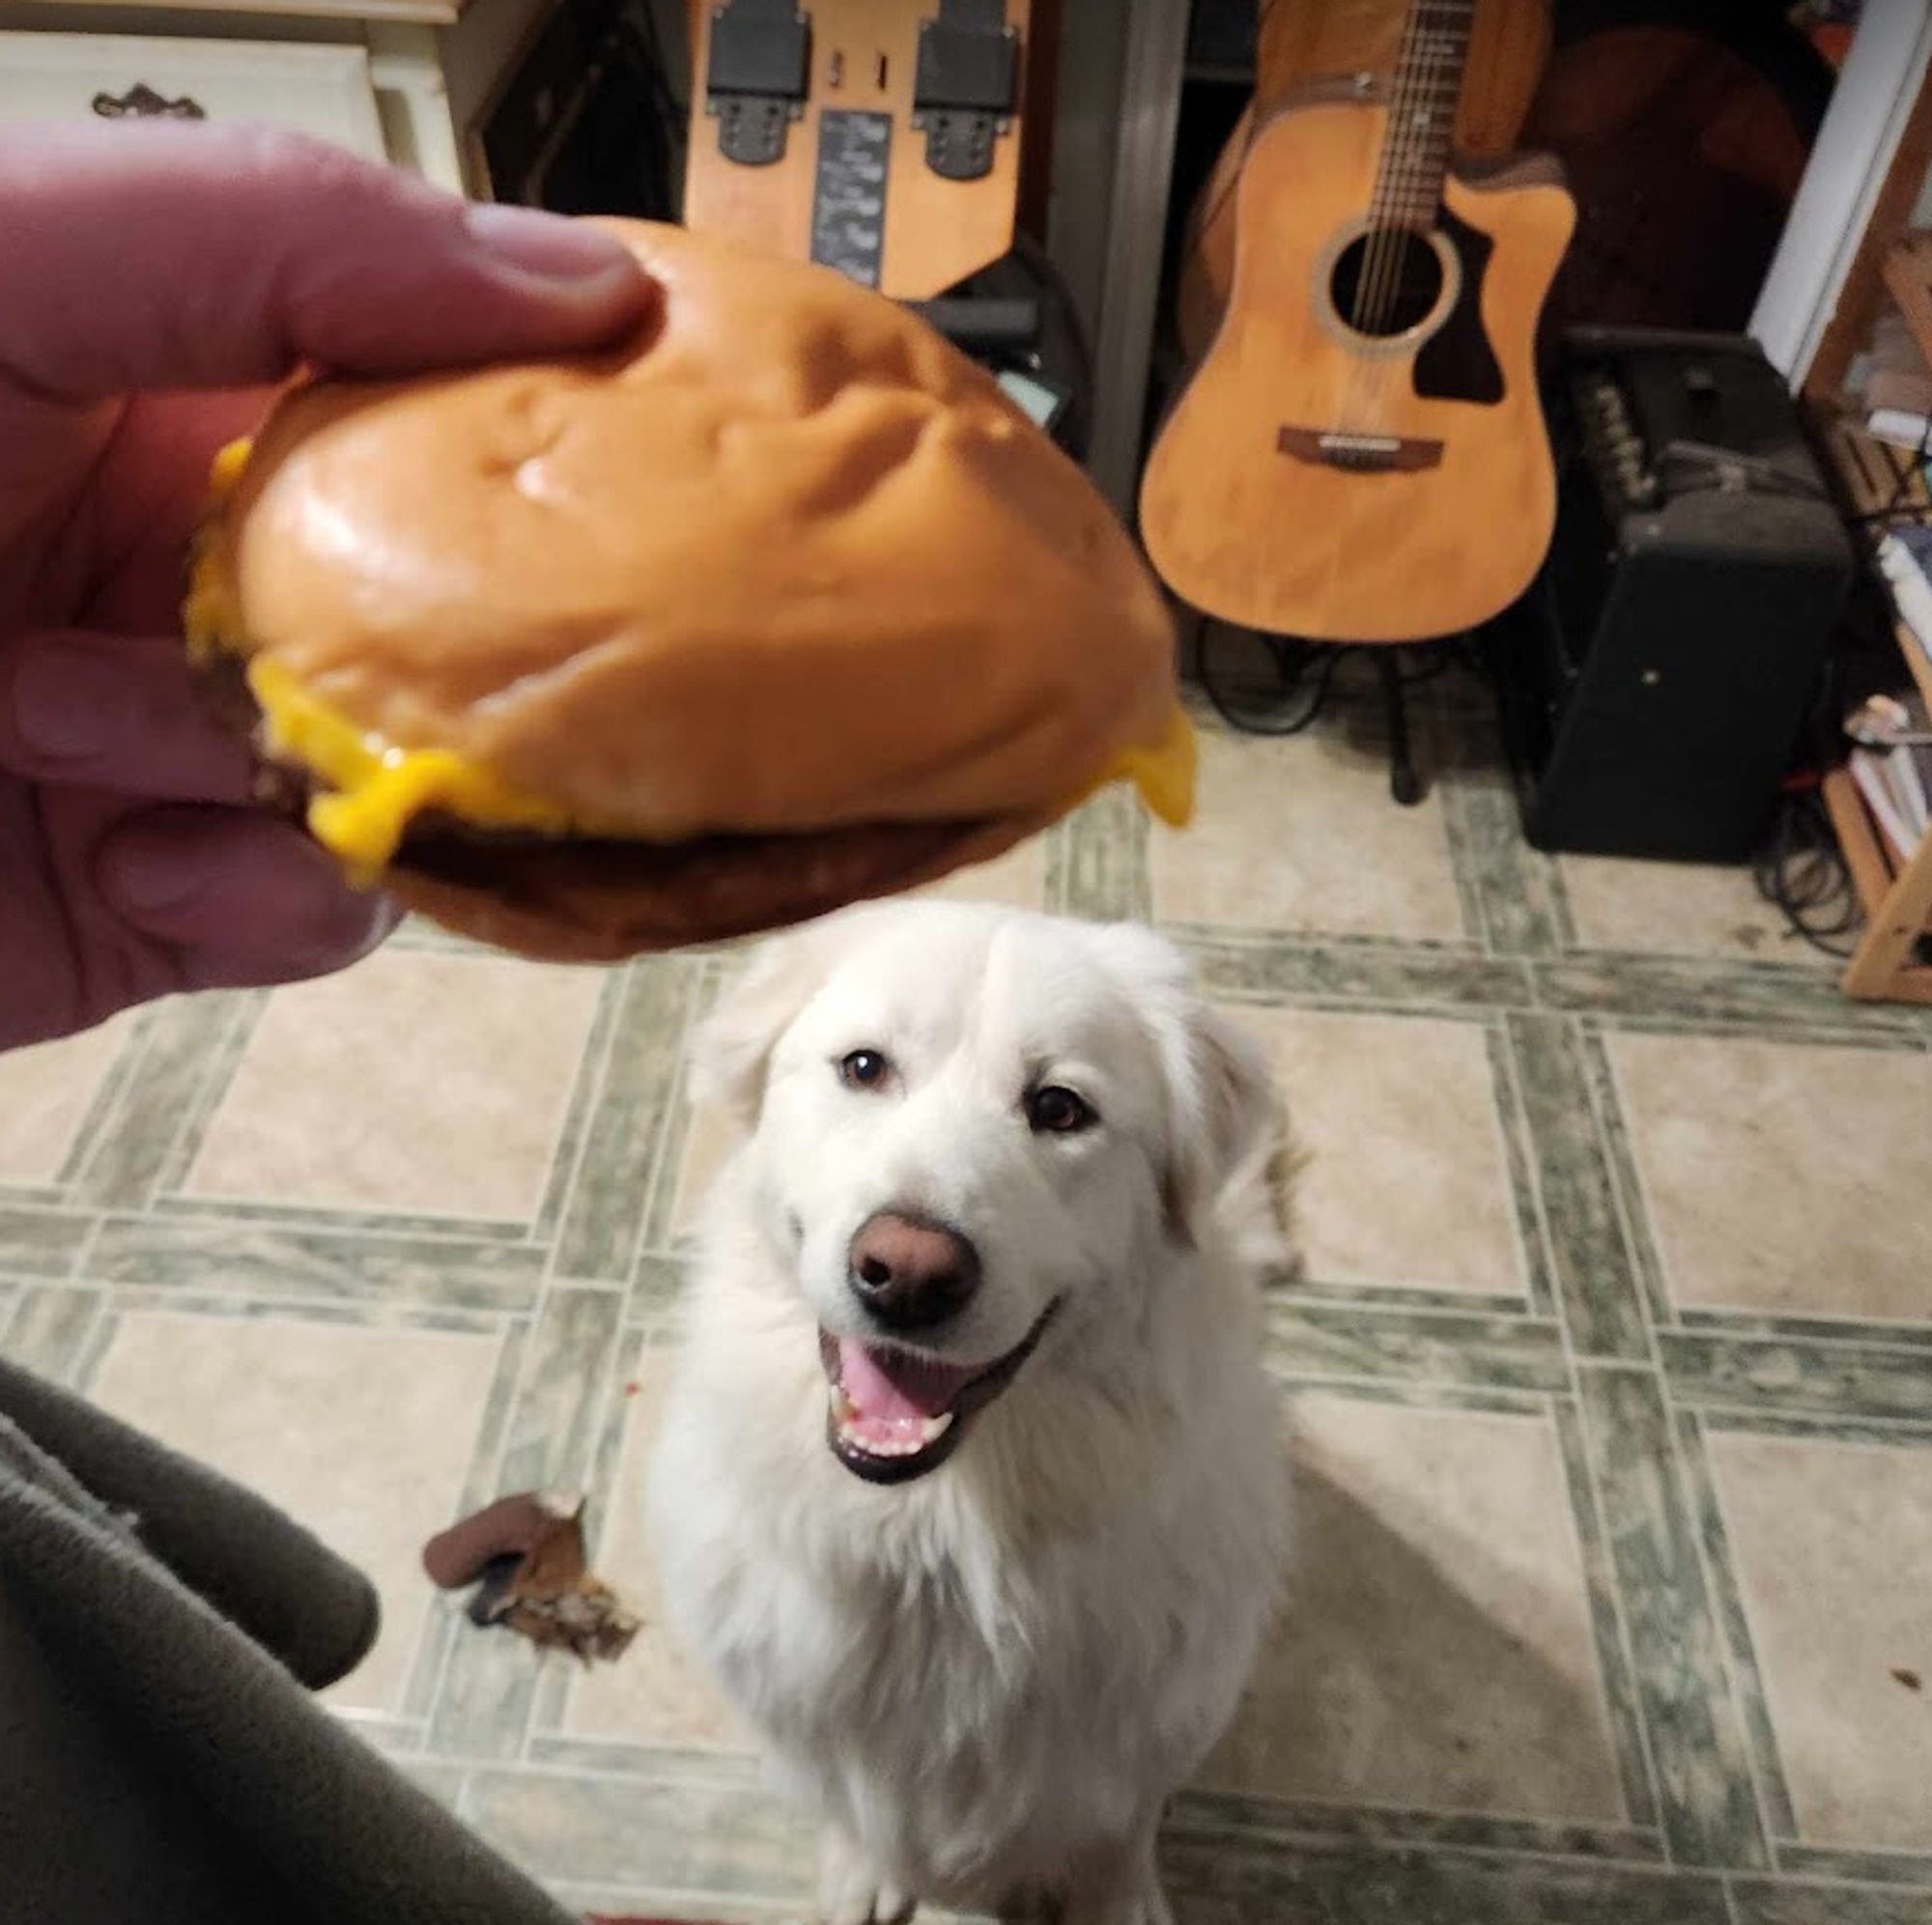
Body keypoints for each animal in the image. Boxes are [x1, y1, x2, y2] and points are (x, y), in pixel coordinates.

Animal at [653, 900, 1298, 1925]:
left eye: (1060, 1108)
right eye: (864, 1066)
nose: (908, 1275)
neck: (945, 1548)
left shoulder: (1147, 1731)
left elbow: (1119, 1831)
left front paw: (1119, 1901)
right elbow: (866, 1808)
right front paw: (873, 1874)